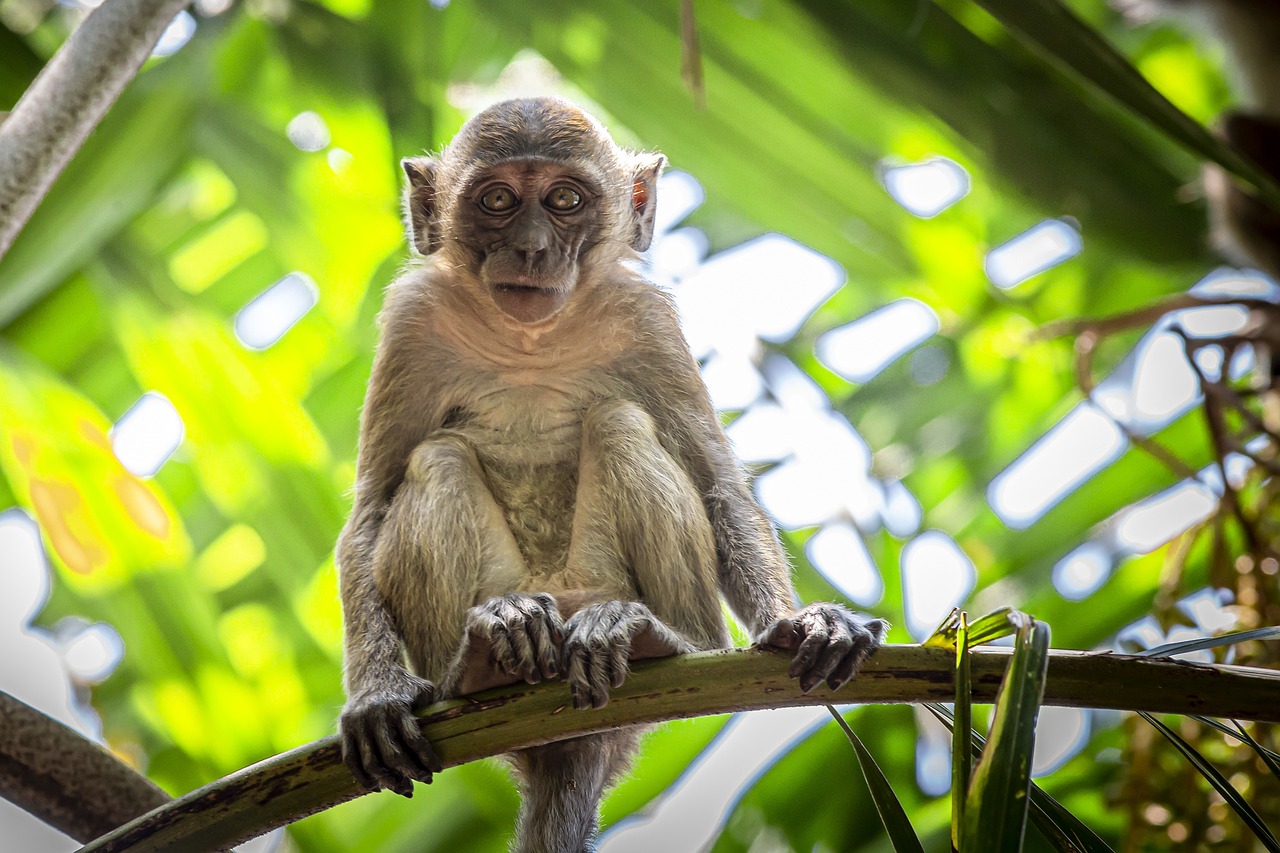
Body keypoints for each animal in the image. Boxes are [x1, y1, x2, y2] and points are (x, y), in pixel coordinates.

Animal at [335, 96, 885, 845]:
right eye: (498, 200)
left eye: (565, 200)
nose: (532, 248)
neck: (529, 339)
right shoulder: (413, 320)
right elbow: (370, 509)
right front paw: (379, 695)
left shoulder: (645, 316)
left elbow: (717, 482)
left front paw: (797, 624)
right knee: (436, 459)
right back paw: (483, 660)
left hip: (611, 591)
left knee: (622, 424)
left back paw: (658, 641)